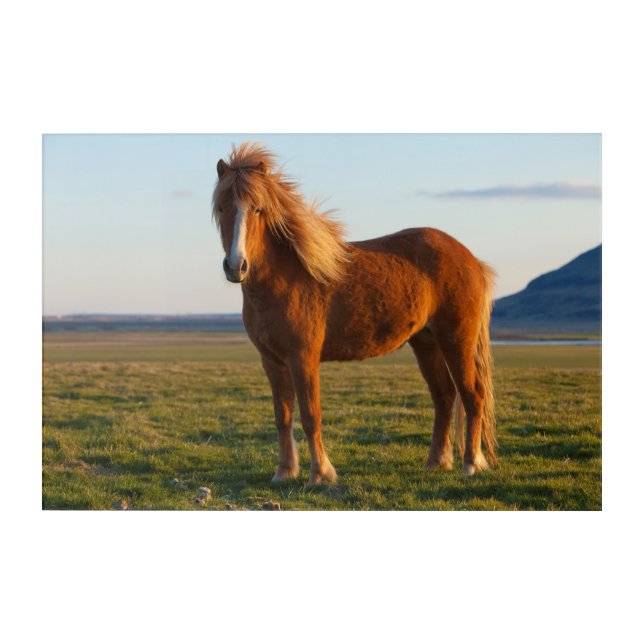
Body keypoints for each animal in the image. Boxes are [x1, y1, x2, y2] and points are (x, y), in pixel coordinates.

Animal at [212, 142, 497, 484]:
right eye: (221, 208)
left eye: (257, 209)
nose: (236, 266)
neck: (283, 278)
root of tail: (471, 259)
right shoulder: (272, 361)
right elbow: (283, 416)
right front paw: (284, 472)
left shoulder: (303, 358)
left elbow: (311, 415)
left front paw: (320, 473)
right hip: (426, 342)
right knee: (444, 397)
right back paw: (436, 461)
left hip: (456, 341)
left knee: (473, 396)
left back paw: (471, 463)